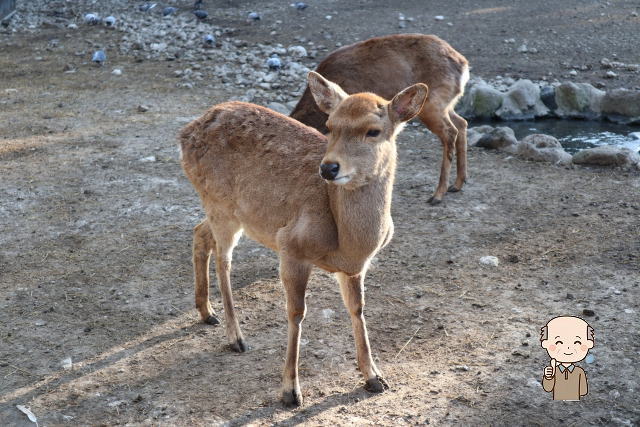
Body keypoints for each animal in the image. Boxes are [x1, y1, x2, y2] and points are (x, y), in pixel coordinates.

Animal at [180, 70, 428, 408]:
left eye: (373, 131)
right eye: (330, 126)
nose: (329, 167)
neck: (349, 243)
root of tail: (185, 133)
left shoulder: (354, 268)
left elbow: (357, 308)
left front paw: (375, 377)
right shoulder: (291, 246)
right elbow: (296, 313)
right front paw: (290, 391)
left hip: (231, 211)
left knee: (199, 232)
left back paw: (207, 313)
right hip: (220, 203)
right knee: (223, 259)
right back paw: (236, 337)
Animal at [292, 33, 468, 206]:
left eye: (373, 131)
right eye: (330, 126)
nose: (327, 169)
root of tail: (464, 66)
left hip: (432, 104)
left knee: (450, 132)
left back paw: (438, 194)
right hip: (446, 104)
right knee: (462, 123)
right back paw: (457, 184)